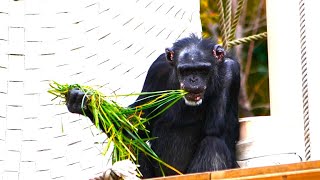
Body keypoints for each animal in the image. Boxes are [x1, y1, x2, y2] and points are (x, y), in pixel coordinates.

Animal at [66, 34, 239, 179]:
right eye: (185, 70)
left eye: (202, 70)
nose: (194, 79)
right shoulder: (156, 69)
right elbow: (135, 123)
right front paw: (85, 102)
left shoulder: (231, 71)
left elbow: (215, 129)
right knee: (130, 140)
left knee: (213, 143)